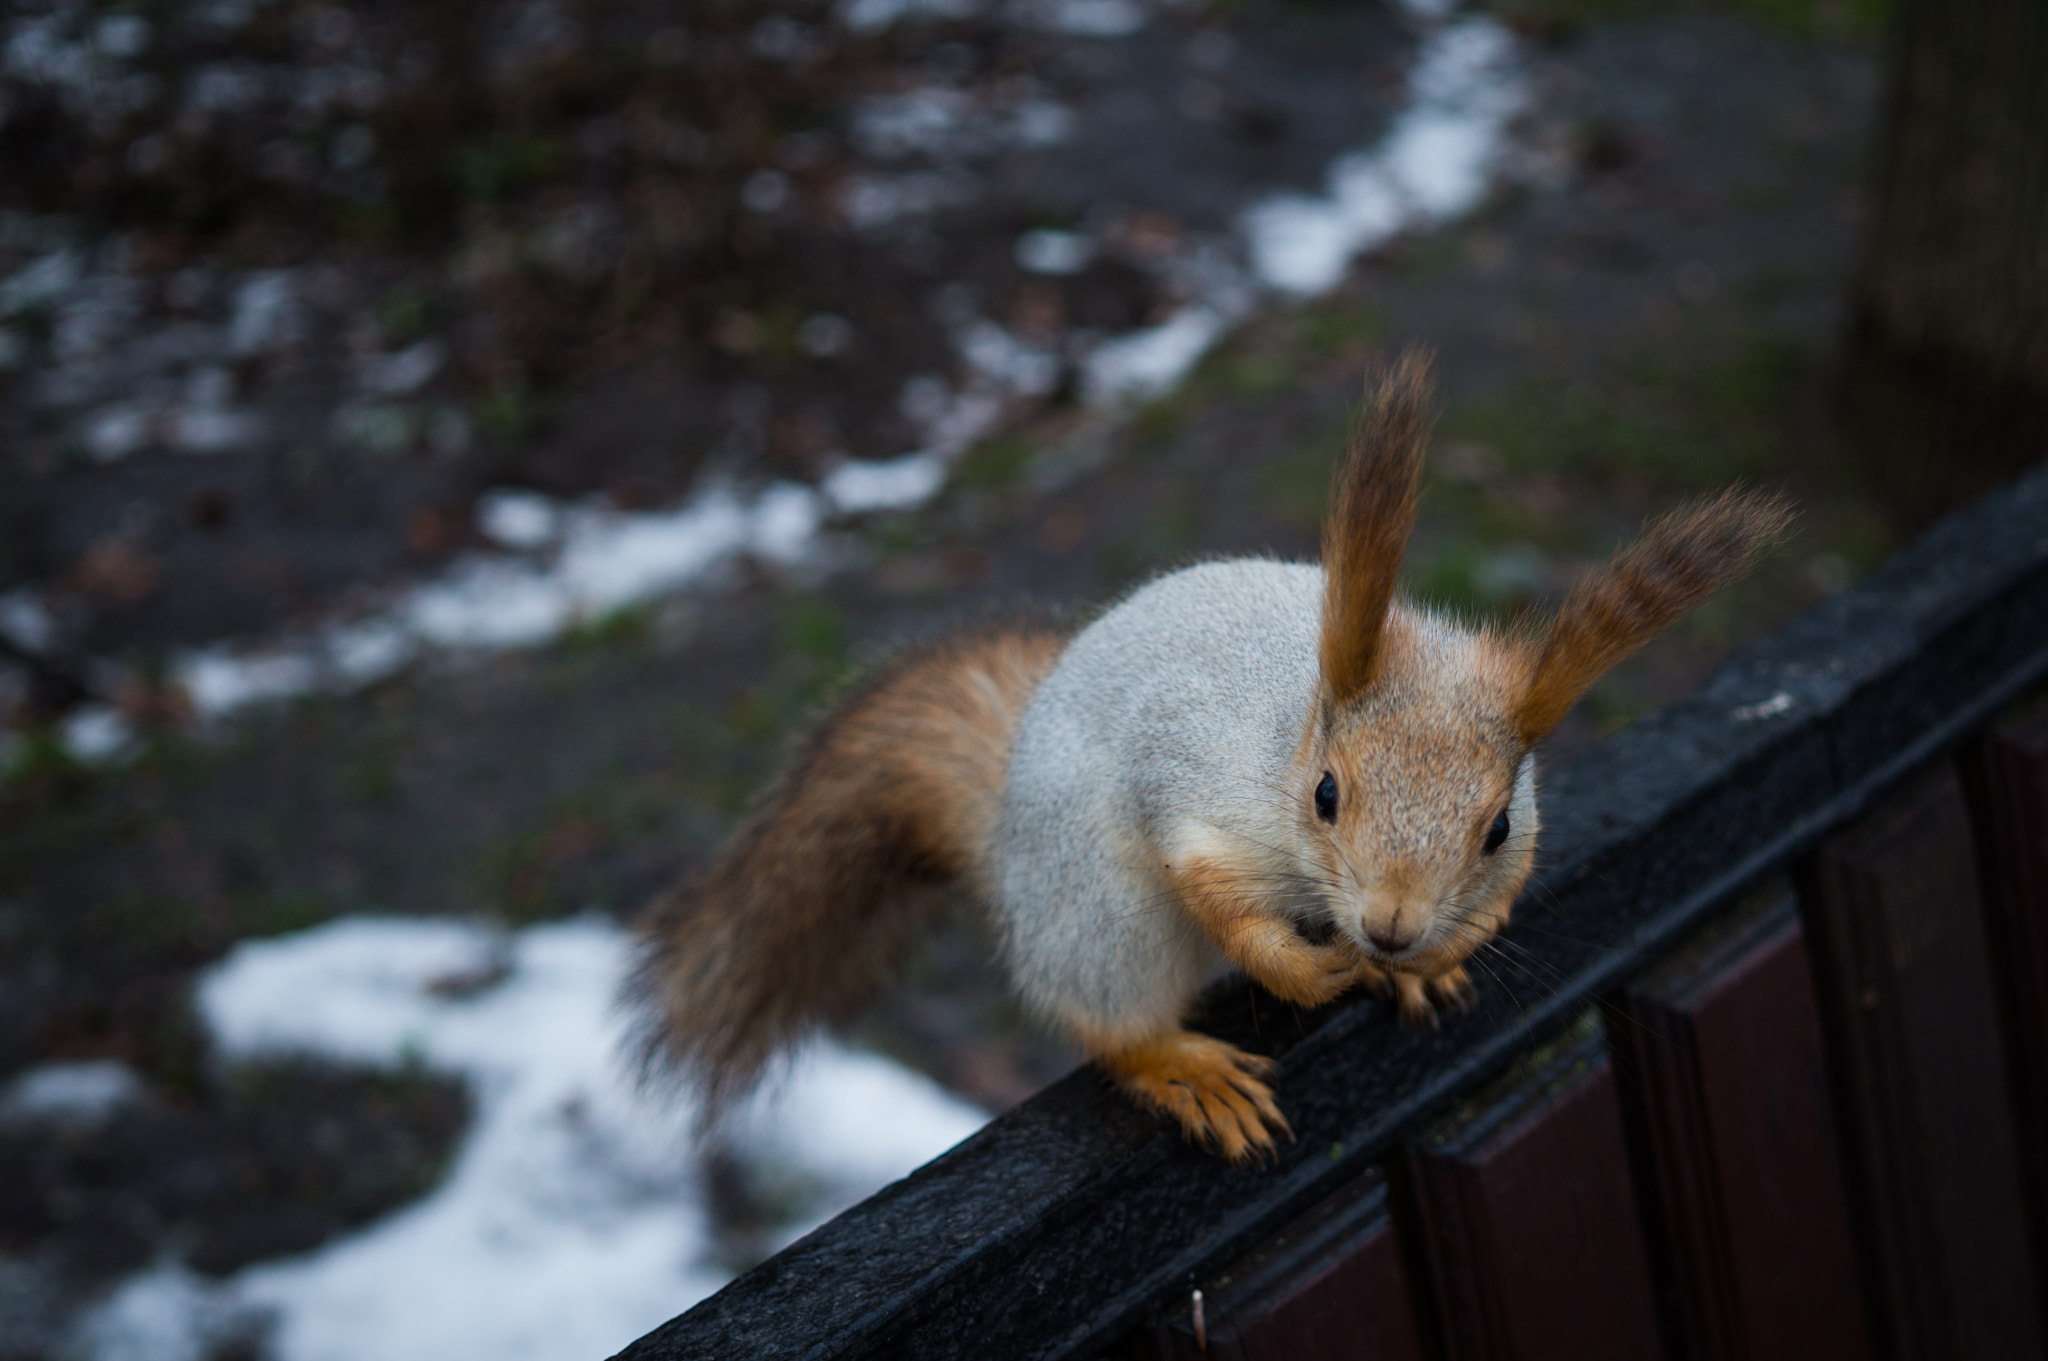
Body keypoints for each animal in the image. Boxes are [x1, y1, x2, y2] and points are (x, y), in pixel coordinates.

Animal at [626, 347, 1794, 1154]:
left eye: (1498, 825)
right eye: (1326, 794)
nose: (1390, 927)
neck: (1294, 719)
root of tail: (1003, 833)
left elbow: (1498, 902)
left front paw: (1440, 959)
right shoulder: (1192, 777)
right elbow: (1212, 885)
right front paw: (1309, 968)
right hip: (1096, 908)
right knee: (1108, 1011)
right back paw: (1180, 1064)